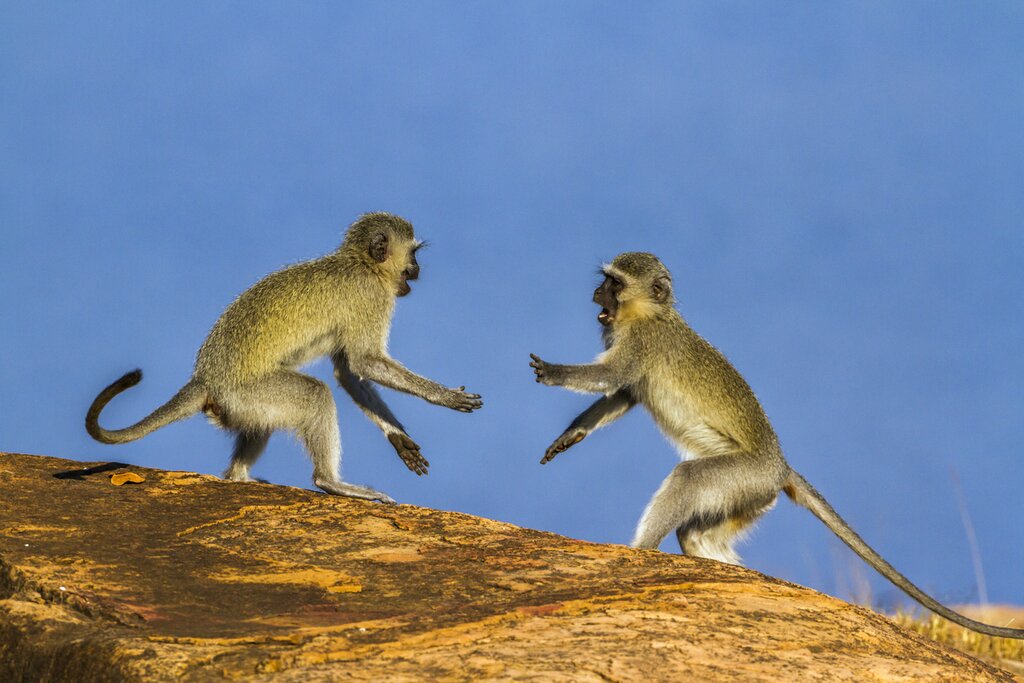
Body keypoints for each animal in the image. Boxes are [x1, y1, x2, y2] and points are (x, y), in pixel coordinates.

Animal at [87, 212, 483, 504]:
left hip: (243, 406)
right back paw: (330, 482)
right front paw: (445, 396)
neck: (361, 264)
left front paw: (397, 436)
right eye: (413, 255)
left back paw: (240, 478)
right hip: (247, 394)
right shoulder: (372, 297)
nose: (417, 270)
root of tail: (204, 379)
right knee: (314, 394)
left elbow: (348, 373)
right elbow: (363, 362)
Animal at [530, 251, 1024, 639]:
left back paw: (640, 551)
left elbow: (612, 378)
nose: (596, 296)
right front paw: (571, 433)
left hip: (743, 477)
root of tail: (780, 466)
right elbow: (622, 396)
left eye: (613, 283)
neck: (651, 315)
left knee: (689, 477)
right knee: (697, 531)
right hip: (749, 496)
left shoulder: (640, 345)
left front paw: (554, 372)